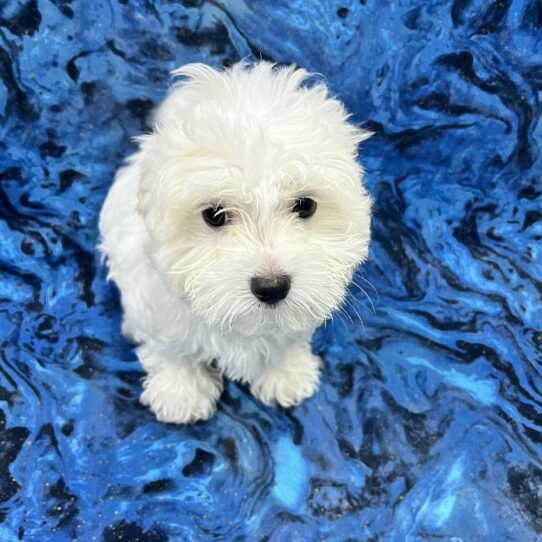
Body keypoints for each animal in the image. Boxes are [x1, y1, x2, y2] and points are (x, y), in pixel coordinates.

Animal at [99, 62, 374, 424]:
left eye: (305, 205)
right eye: (214, 215)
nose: (272, 286)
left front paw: (285, 372)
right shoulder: (153, 300)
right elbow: (169, 345)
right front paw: (180, 390)